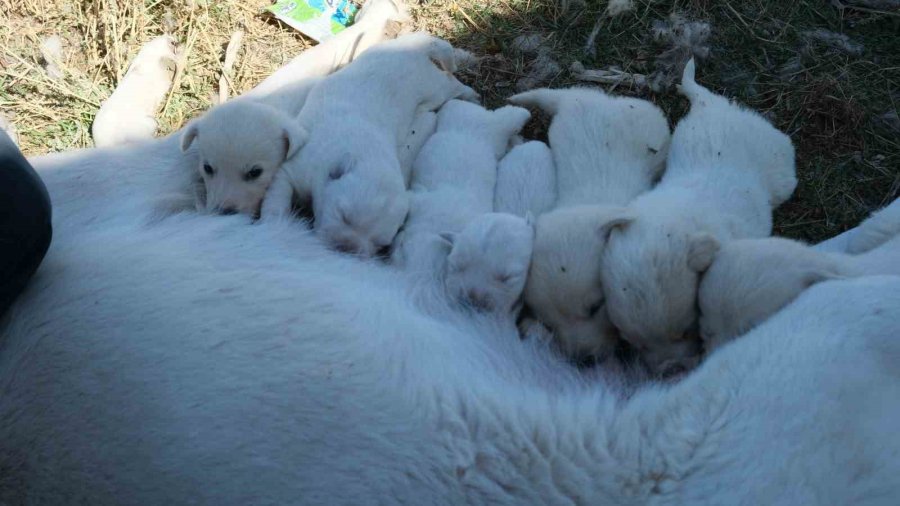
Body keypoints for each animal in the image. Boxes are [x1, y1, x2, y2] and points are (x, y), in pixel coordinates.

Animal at [268, 34, 478, 256]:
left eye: (380, 244)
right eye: (343, 215)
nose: (348, 249)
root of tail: (418, 50)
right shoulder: (296, 168)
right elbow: (277, 196)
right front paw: (274, 221)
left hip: (433, 89)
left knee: (453, 83)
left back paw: (471, 95)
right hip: (429, 82)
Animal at [596, 59, 796, 376]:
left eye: (686, 331)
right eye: (634, 343)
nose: (670, 370)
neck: (673, 218)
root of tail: (709, 105)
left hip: (776, 162)